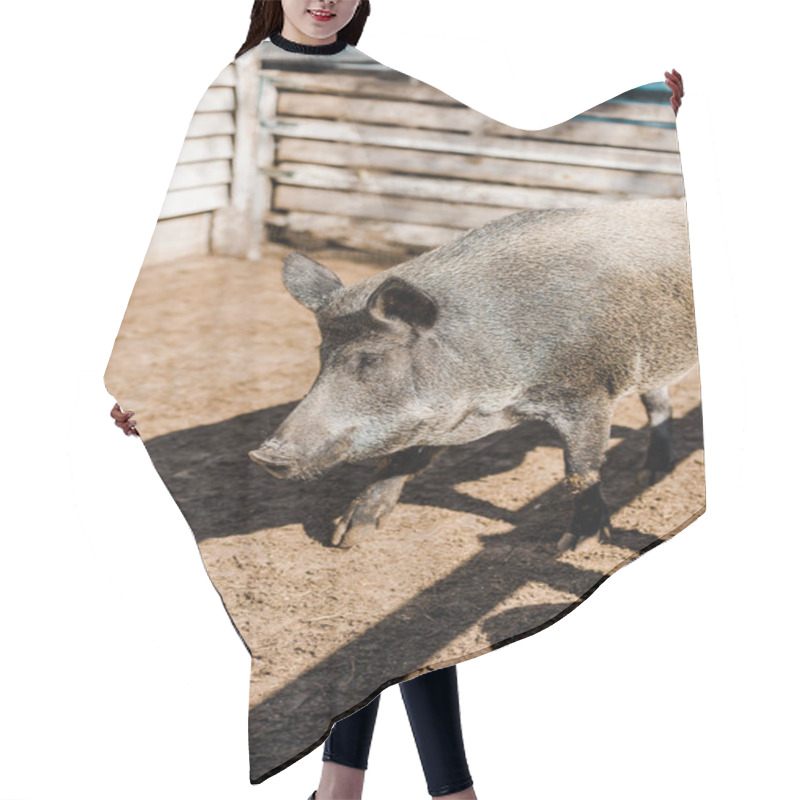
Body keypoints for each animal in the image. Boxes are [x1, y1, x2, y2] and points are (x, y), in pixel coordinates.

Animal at [247, 197, 696, 552]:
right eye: (322, 356)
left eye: (371, 360)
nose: (263, 455)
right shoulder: (436, 416)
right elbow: (402, 457)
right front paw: (346, 537)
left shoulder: (587, 393)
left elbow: (579, 471)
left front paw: (575, 545)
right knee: (659, 401)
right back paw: (651, 473)